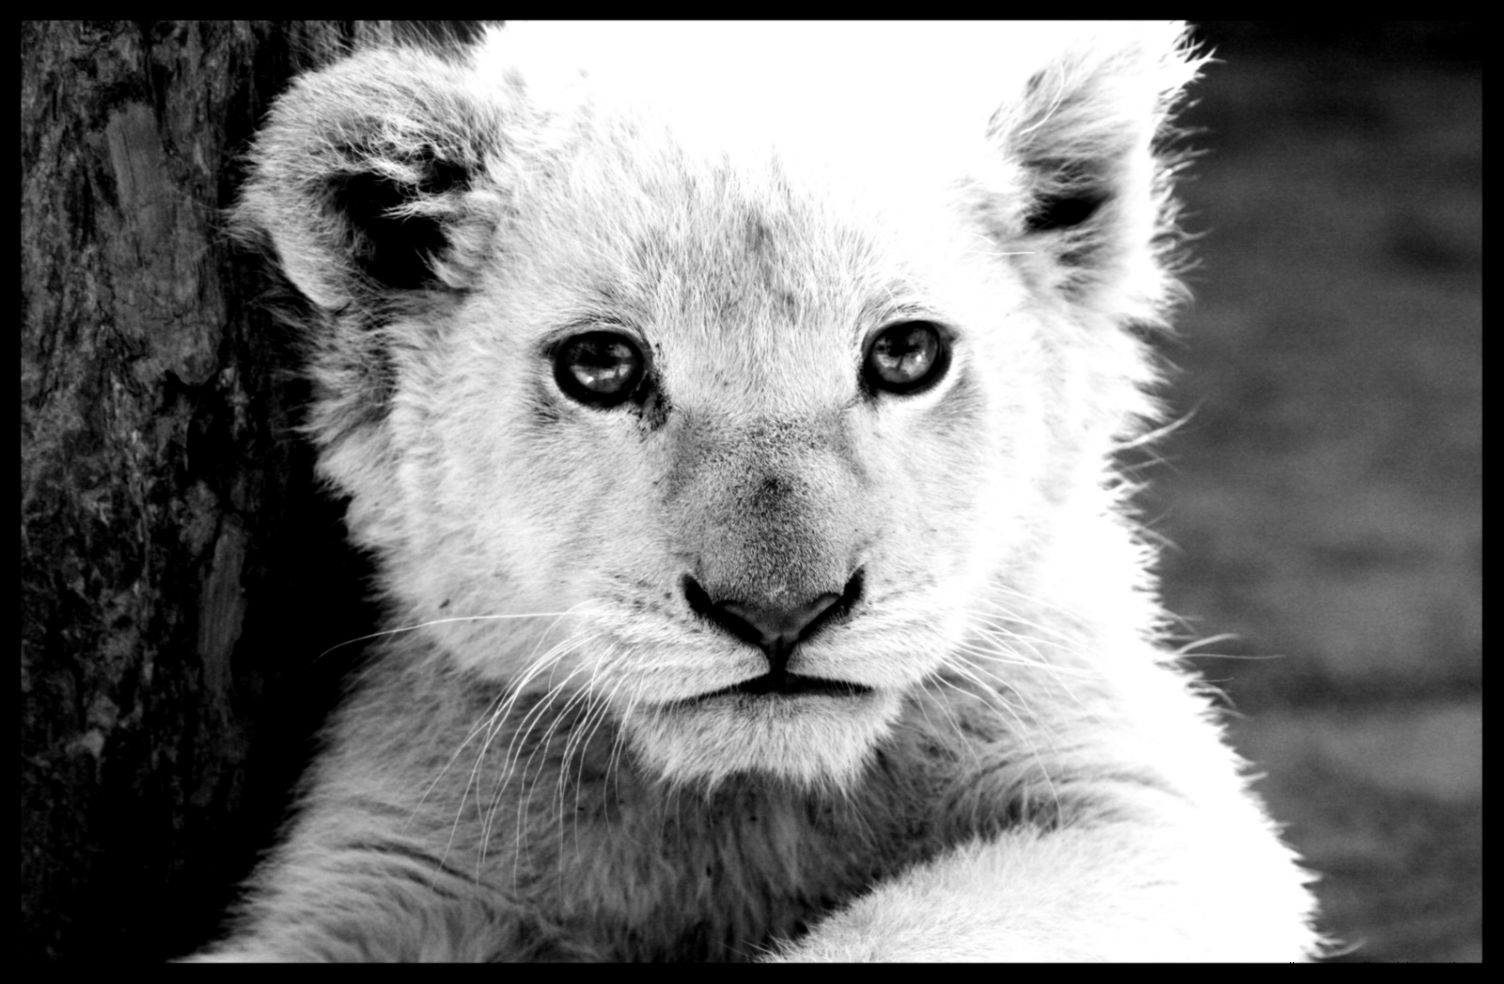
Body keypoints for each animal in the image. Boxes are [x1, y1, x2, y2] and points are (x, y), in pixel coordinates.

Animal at [198, 21, 1320, 960]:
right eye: (600, 365)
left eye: (906, 354)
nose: (781, 613)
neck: (740, 804)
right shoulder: (388, 861)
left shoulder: (1135, 801)